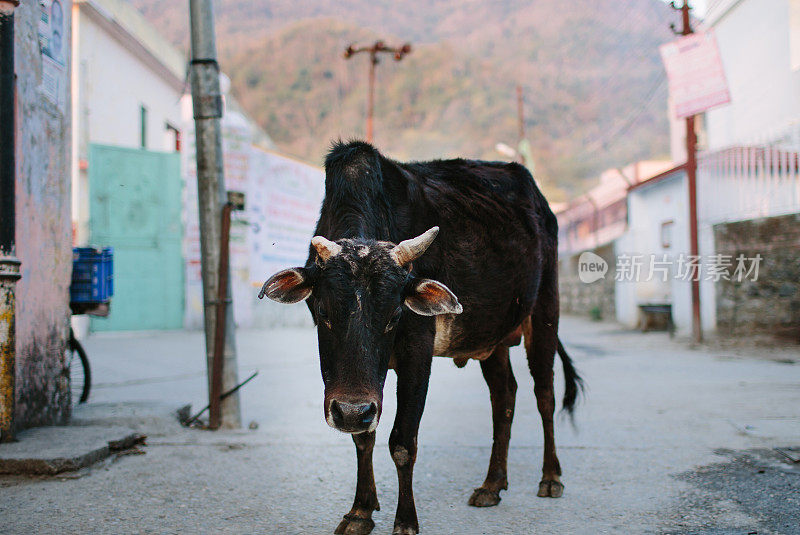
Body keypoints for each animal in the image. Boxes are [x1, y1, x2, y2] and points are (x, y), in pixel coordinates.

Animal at [260, 140, 580, 532]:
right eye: (323, 313)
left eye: (395, 315)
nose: (350, 412)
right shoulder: (361, 390)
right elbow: (363, 437)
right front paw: (360, 511)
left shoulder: (417, 351)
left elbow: (402, 442)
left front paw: (405, 520)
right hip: (491, 339)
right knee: (504, 397)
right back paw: (492, 485)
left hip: (545, 311)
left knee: (544, 394)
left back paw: (550, 478)